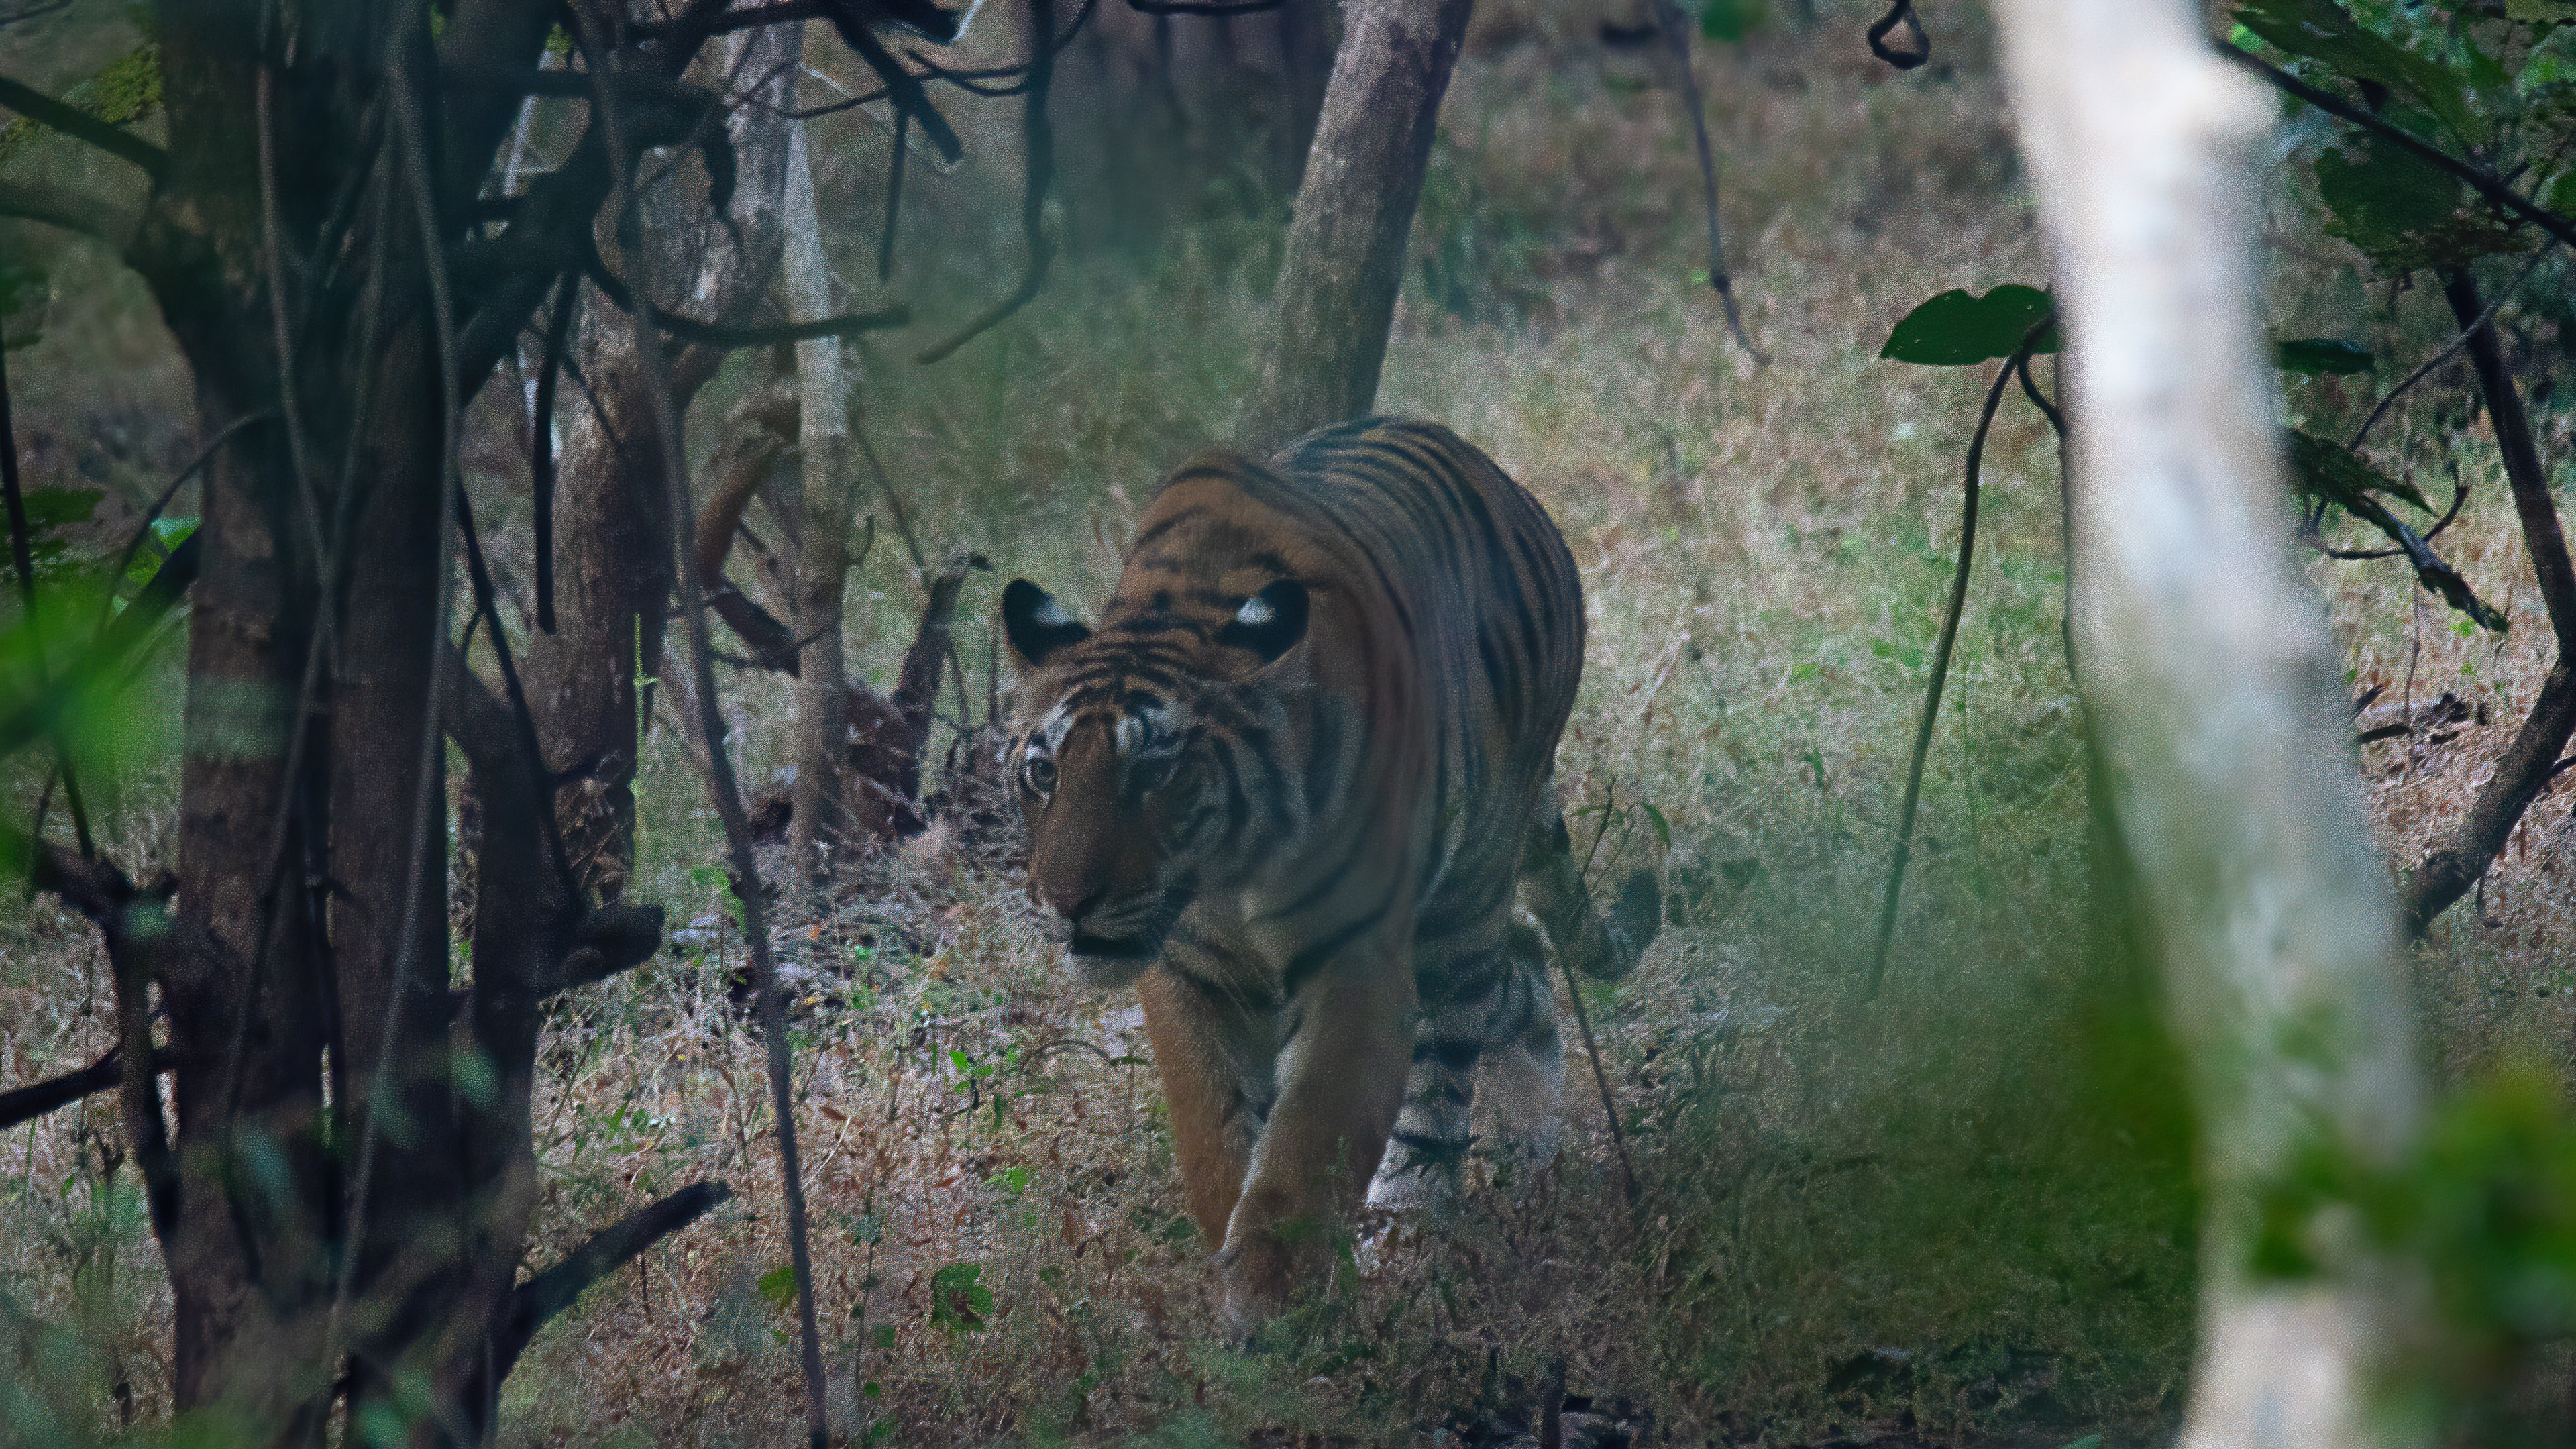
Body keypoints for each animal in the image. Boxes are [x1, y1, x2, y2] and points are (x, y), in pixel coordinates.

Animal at [998, 416, 1660, 1340]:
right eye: (1044, 774)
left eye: (1155, 774)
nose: (1066, 904)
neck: (1227, 874)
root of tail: (1506, 484)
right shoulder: (1188, 974)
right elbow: (1215, 1135)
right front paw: (1235, 1280)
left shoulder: (1357, 957)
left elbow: (1312, 1137)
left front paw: (1272, 1307)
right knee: (1523, 970)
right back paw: (1527, 1157)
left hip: (1462, 899)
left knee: (1449, 1065)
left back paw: (1417, 1229)